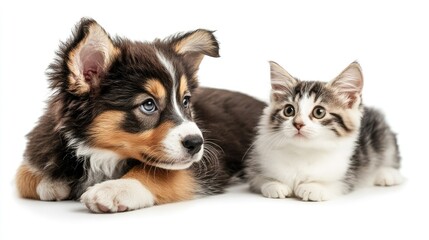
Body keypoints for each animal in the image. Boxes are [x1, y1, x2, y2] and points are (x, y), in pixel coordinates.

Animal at [15, 19, 264, 214]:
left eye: (185, 101)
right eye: (148, 105)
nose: (196, 143)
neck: (101, 153)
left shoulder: (207, 166)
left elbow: (160, 173)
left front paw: (115, 189)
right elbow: (23, 176)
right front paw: (53, 183)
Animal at [246, 60, 402, 201]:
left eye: (319, 112)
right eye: (289, 110)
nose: (298, 124)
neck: (303, 152)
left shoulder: (347, 173)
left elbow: (335, 184)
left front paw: (313, 188)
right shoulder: (256, 166)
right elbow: (260, 179)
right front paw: (273, 185)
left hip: (383, 138)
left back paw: (387, 174)